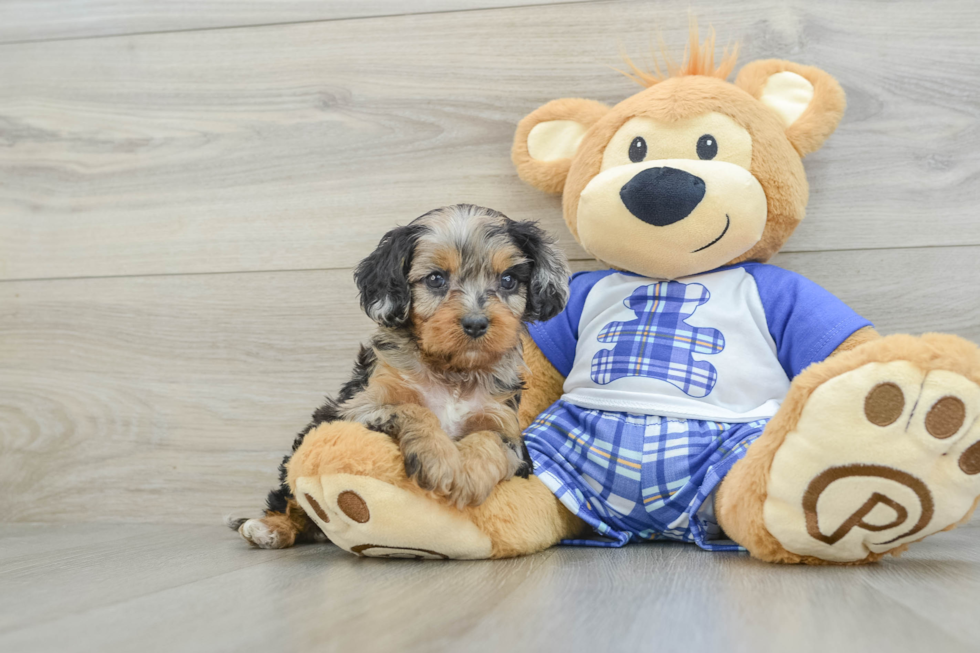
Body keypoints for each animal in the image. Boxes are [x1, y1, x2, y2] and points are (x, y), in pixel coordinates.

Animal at [232, 202, 568, 544]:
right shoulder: (354, 408)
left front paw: (470, 475)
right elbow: (411, 408)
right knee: (290, 500)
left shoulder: (510, 435)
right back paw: (269, 527)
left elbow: (491, 439)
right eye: (435, 279)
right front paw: (439, 459)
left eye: (509, 280)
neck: (454, 373)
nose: (476, 324)